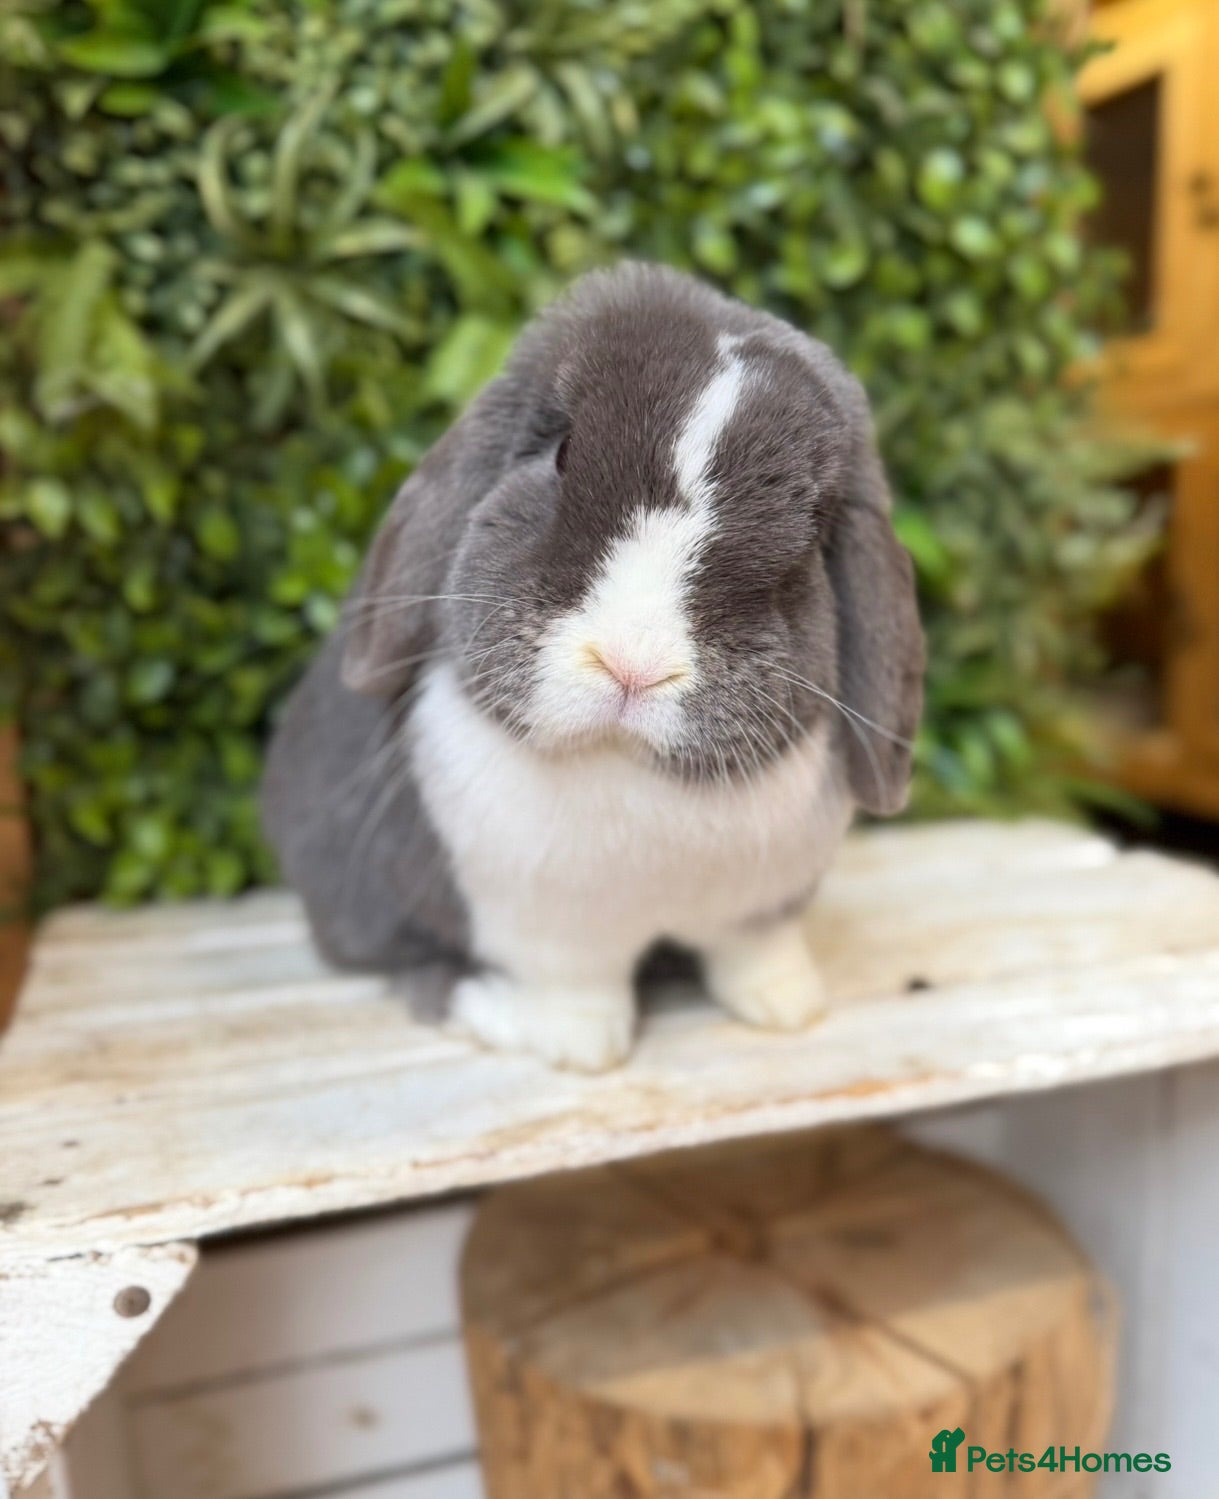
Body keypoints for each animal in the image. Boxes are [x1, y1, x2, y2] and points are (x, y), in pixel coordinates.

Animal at [261, 262, 924, 1072]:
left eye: (813, 530)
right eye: (562, 453)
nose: (634, 664)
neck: (626, 765)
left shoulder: (762, 905)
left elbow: (755, 953)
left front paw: (787, 1006)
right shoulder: (542, 929)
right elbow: (579, 1001)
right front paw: (580, 1046)